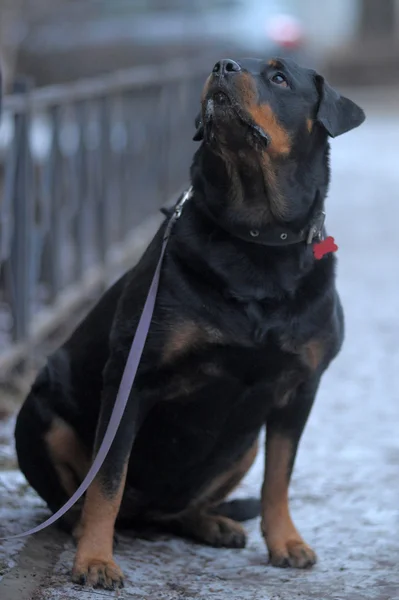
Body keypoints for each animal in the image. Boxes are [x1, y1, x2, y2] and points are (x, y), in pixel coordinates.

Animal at [14, 57, 366, 592]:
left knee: (186, 507)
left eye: (279, 77)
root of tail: (146, 515)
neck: (255, 242)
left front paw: (286, 542)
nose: (224, 64)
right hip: (40, 411)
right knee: (77, 498)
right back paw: (79, 530)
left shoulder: (301, 388)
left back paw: (212, 523)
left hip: (242, 445)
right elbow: (107, 480)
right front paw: (95, 559)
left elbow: (279, 476)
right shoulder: (132, 379)